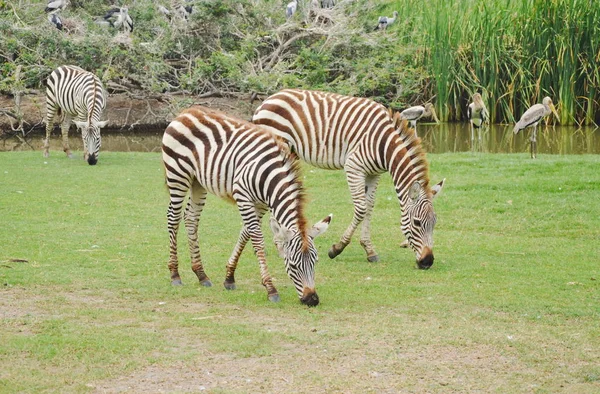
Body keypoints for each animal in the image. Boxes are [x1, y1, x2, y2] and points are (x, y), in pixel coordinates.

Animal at [162, 104, 330, 304]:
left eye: (315, 262)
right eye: (293, 265)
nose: (312, 300)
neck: (269, 177)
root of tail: (186, 111)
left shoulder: (261, 204)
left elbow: (245, 234)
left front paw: (229, 277)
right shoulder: (242, 196)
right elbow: (257, 239)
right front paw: (270, 288)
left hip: (198, 181)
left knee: (191, 218)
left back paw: (201, 274)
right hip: (178, 175)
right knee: (173, 218)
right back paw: (174, 274)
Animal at [253, 89, 446, 270]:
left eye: (435, 222)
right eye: (417, 222)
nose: (427, 262)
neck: (385, 146)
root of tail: (269, 99)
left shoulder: (374, 173)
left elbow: (369, 207)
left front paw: (369, 250)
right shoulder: (354, 167)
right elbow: (361, 209)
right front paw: (337, 248)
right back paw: (278, 246)